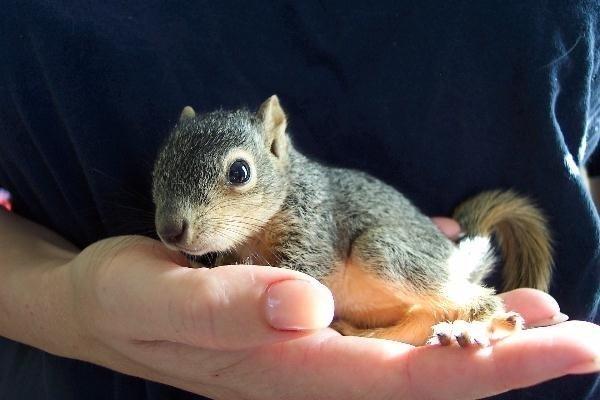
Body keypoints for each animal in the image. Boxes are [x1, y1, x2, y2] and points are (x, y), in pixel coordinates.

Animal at [154, 94, 552, 346]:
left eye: (239, 172)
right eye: (158, 167)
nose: (170, 231)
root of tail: (457, 256)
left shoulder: (314, 230)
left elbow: (299, 266)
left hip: (384, 250)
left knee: (475, 300)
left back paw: (477, 328)